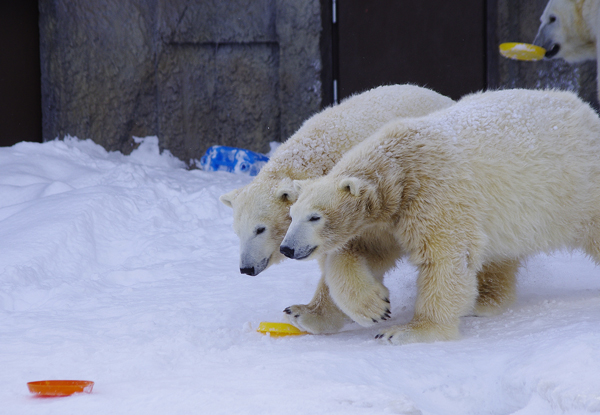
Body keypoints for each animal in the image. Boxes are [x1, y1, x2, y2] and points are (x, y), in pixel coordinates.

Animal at [282, 89, 600, 346]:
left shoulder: (434, 191)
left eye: (314, 217)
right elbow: (361, 252)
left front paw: (408, 331)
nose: (287, 248)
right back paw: (482, 301)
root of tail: (586, 109)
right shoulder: (387, 217)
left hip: (578, 189)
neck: (398, 167)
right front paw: (315, 312)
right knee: (499, 254)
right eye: (292, 215)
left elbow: (444, 257)